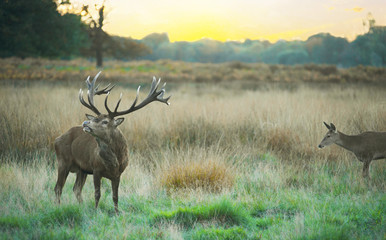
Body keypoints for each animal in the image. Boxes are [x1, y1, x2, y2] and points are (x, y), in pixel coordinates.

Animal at [54, 71, 170, 214]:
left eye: (105, 121)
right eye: (95, 118)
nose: (85, 123)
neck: (113, 162)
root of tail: (57, 139)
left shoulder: (118, 174)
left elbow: (115, 196)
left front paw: (117, 212)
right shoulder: (96, 168)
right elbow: (97, 193)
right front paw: (96, 211)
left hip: (81, 169)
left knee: (76, 189)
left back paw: (81, 207)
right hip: (62, 161)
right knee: (58, 188)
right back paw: (57, 208)